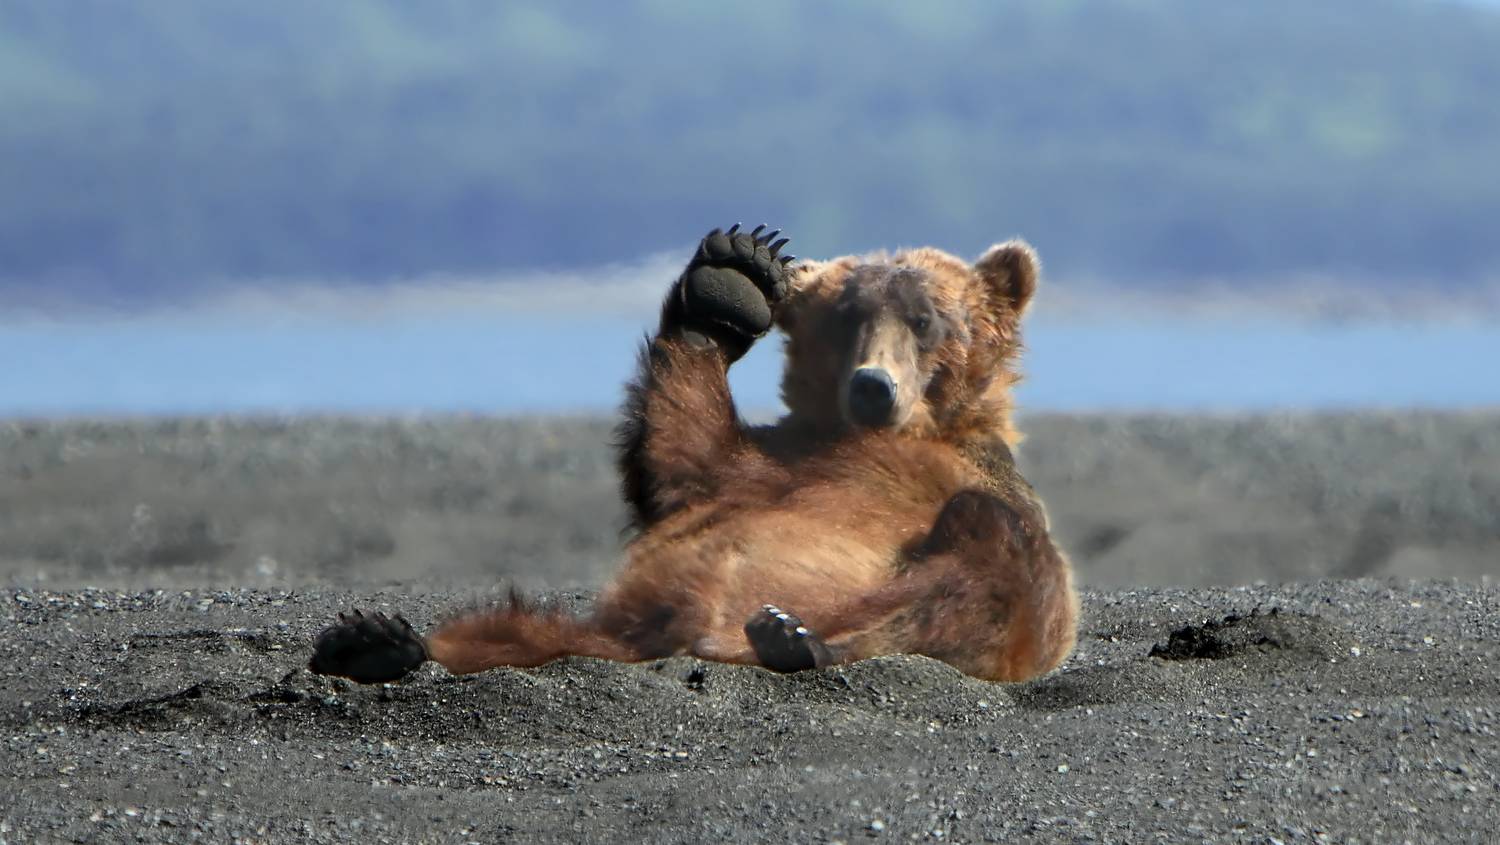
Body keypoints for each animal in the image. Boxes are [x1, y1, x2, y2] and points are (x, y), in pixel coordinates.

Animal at [307, 226, 1080, 687]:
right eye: (846, 318)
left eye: (926, 321)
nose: (872, 386)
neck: (887, 440)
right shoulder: (765, 469)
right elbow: (683, 453)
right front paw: (733, 279)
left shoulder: (975, 487)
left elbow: (1010, 569)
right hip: (598, 629)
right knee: (508, 632)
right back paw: (378, 642)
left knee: (980, 562)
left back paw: (797, 638)